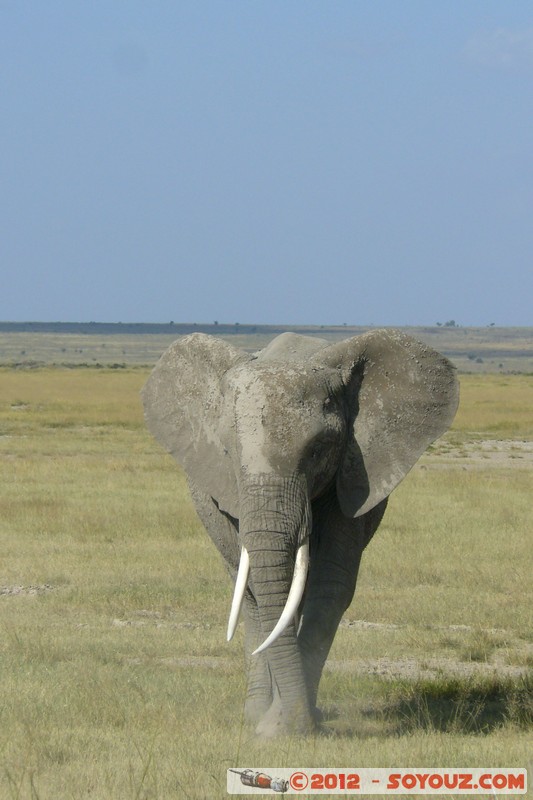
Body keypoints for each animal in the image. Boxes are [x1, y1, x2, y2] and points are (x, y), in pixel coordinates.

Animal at [141, 328, 458, 736]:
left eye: (319, 450)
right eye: (229, 452)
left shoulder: (353, 472)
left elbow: (331, 583)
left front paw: (286, 727)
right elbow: (260, 585)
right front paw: (274, 725)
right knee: (249, 595)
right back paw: (255, 711)